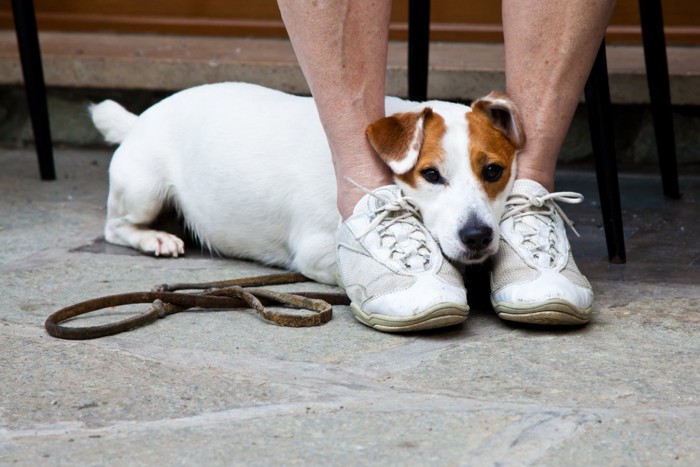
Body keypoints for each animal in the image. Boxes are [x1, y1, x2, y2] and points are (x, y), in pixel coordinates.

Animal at [90, 82, 524, 284]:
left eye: (494, 171)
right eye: (431, 174)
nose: (477, 236)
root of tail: (138, 119)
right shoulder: (316, 252)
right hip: (145, 190)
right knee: (115, 228)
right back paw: (155, 238)